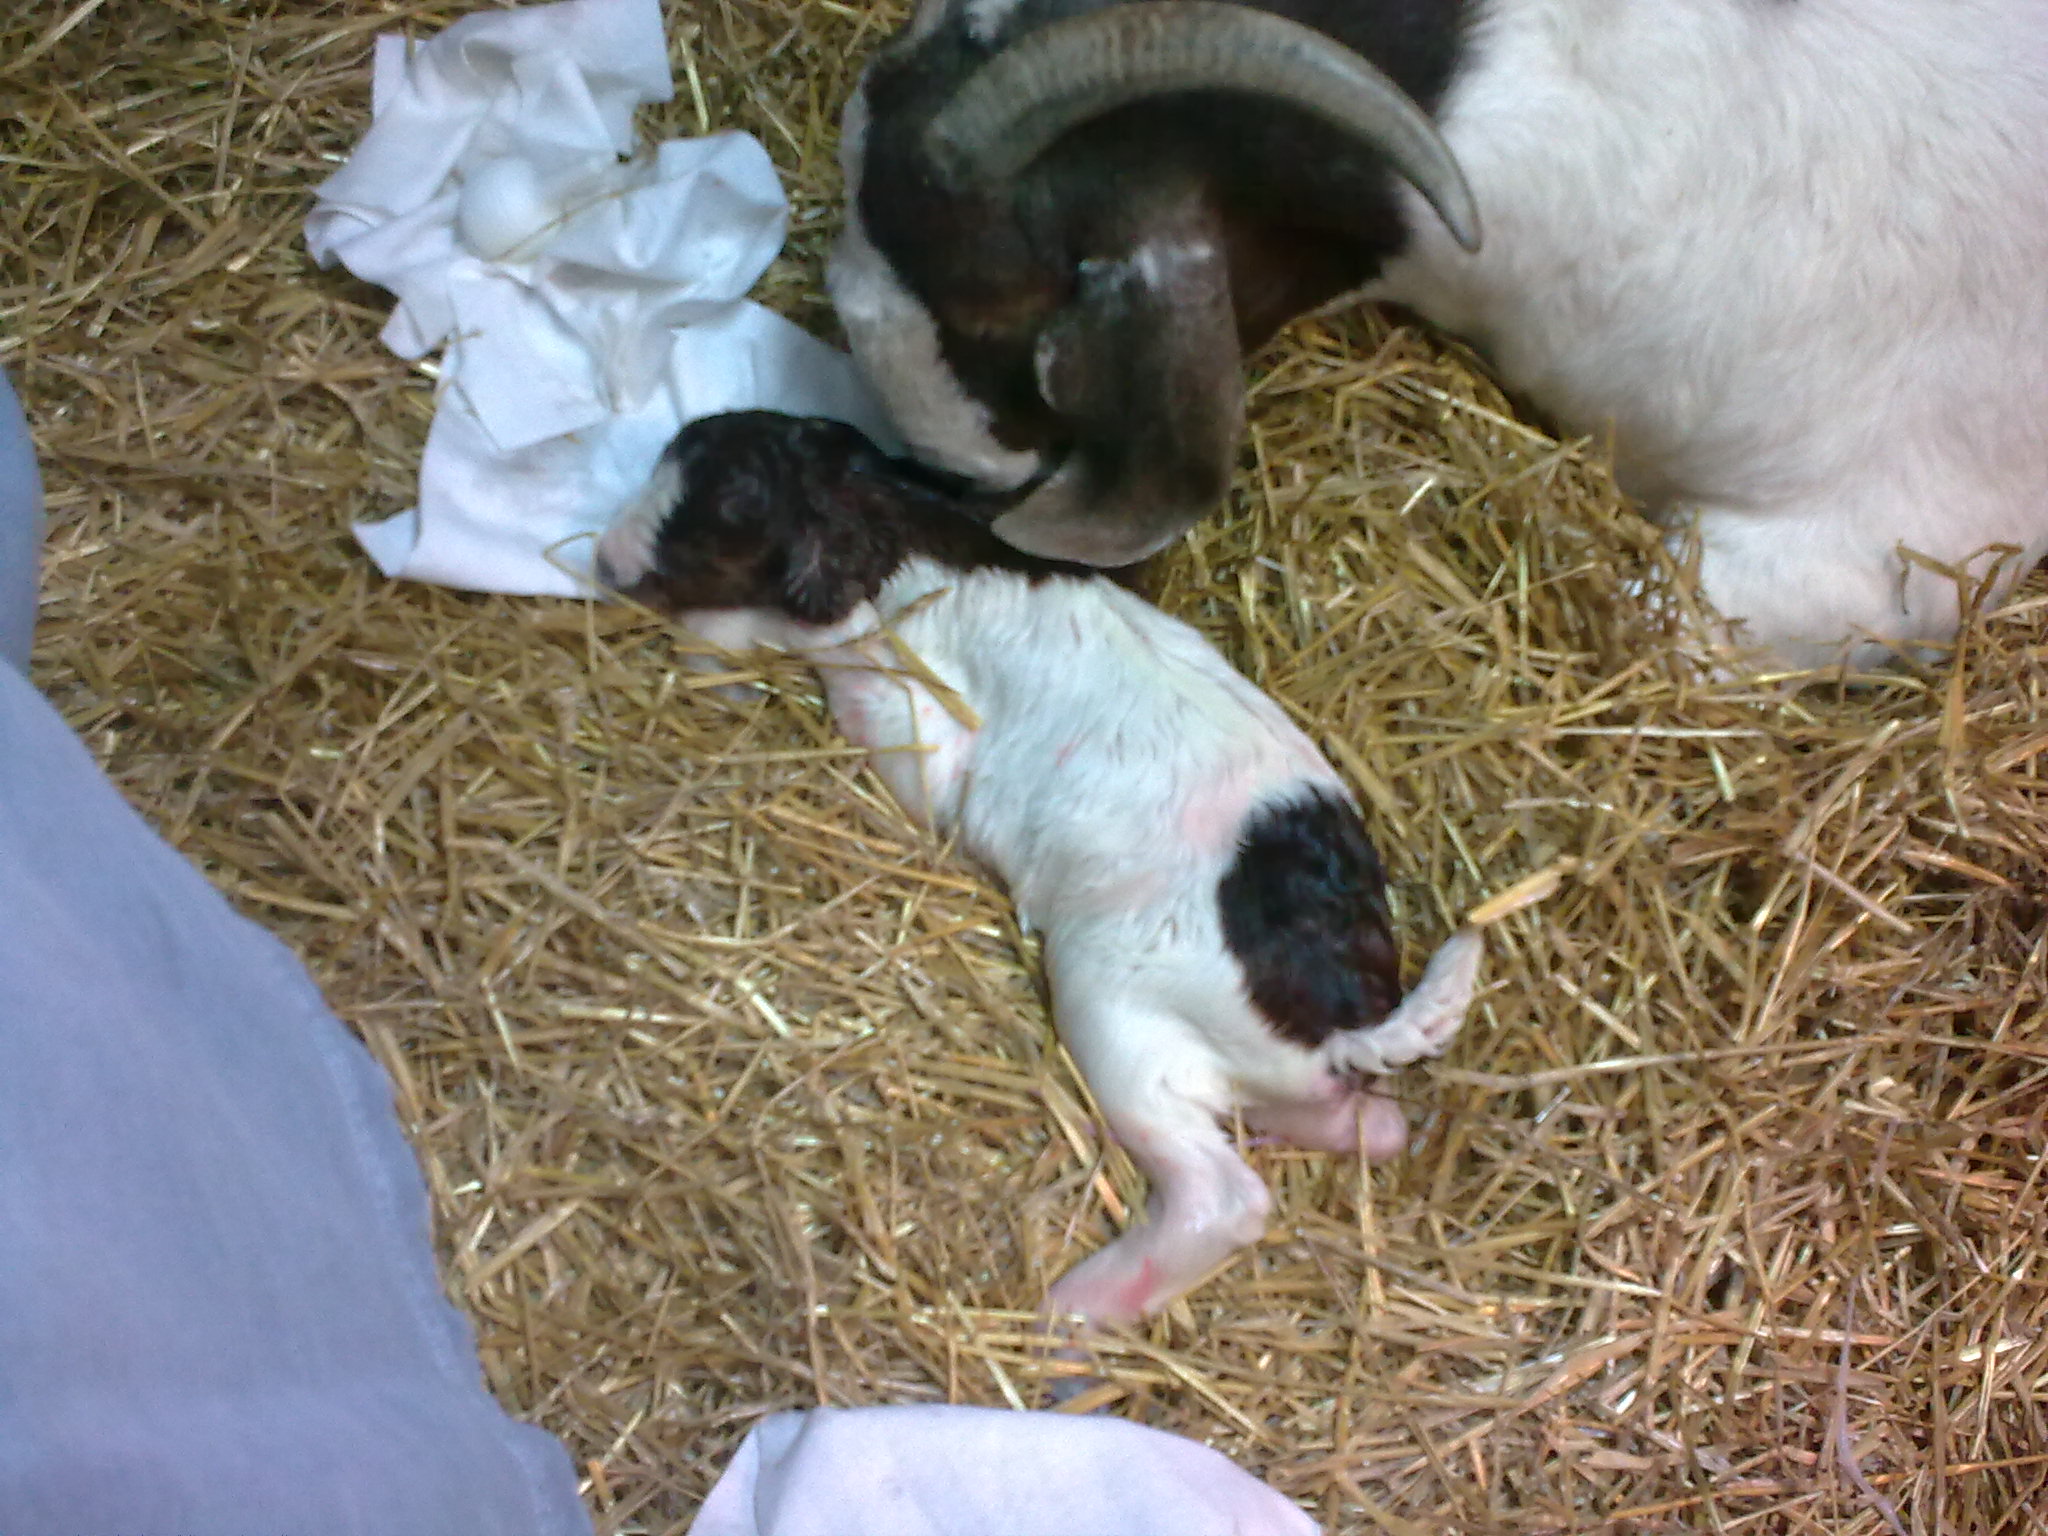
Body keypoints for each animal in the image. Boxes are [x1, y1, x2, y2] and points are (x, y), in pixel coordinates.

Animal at [595, 409, 1483, 1325]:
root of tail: (1342, 1023)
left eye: (714, 522)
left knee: (1223, 1196)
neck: (895, 520)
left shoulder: (915, 710)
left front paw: (720, 663)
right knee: (1375, 1126)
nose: (603, 561)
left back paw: (1069, 1312)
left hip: (1115, 1007)